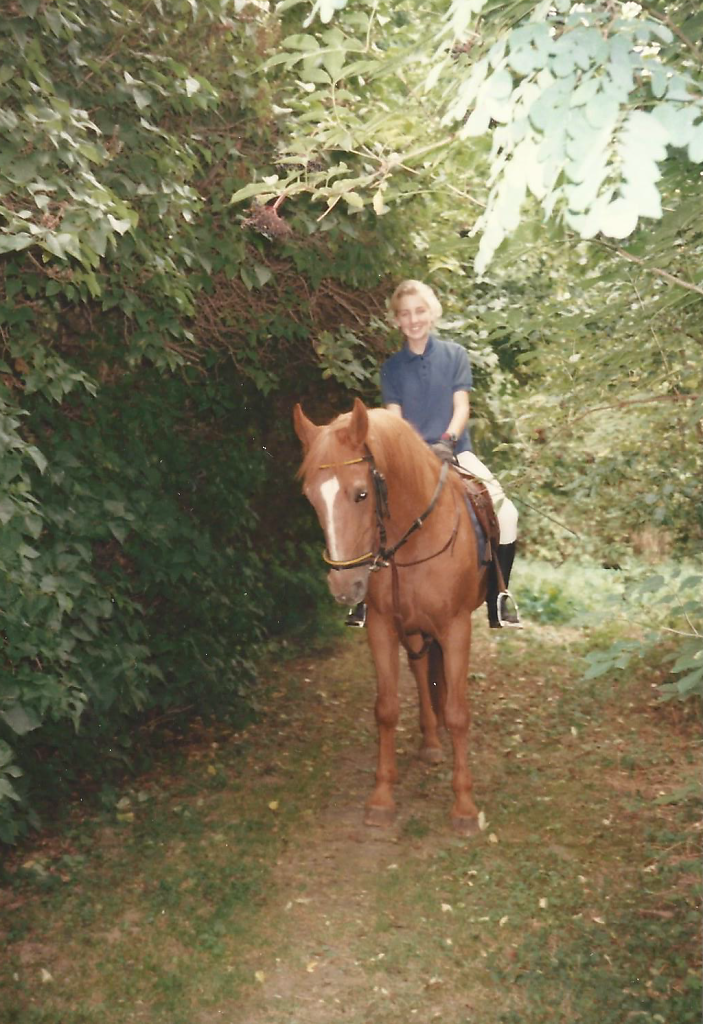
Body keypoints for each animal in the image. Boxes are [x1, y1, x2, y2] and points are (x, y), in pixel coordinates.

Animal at [294, 395, 487, 835]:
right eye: (311, 498)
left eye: (362, 494)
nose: (345, 585)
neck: (413, 540)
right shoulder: (382, 627)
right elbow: (386, 709)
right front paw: (382, 797)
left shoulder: (456, 628)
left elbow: (458, 713)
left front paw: (465, 807)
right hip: (411, 628)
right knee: (420, 672)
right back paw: (431, 742)